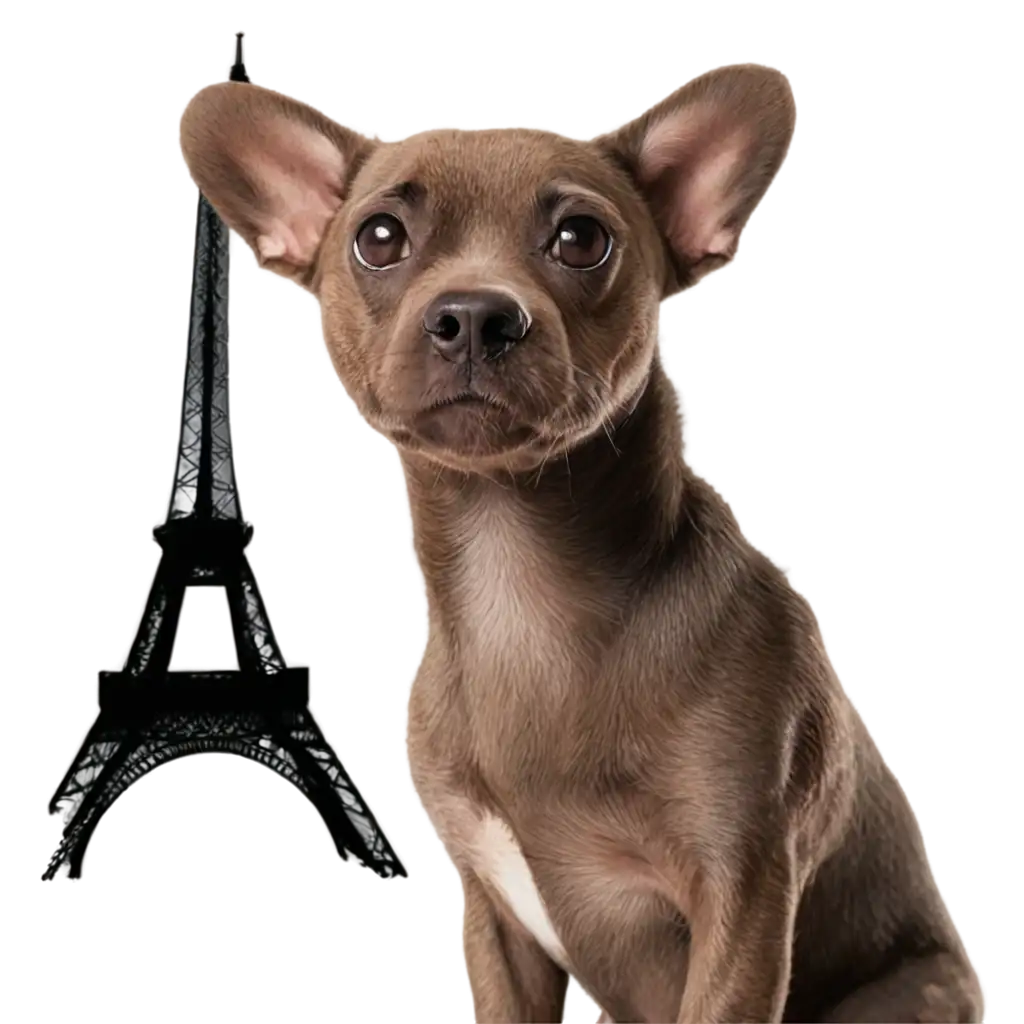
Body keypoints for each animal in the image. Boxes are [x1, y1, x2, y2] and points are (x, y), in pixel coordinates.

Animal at [180, 64, 987, 1024]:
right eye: (379, 238)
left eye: (581, 239)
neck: (521, 572)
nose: (474, 314)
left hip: (911, 992)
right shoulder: (497, 917)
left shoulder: (741, 900)